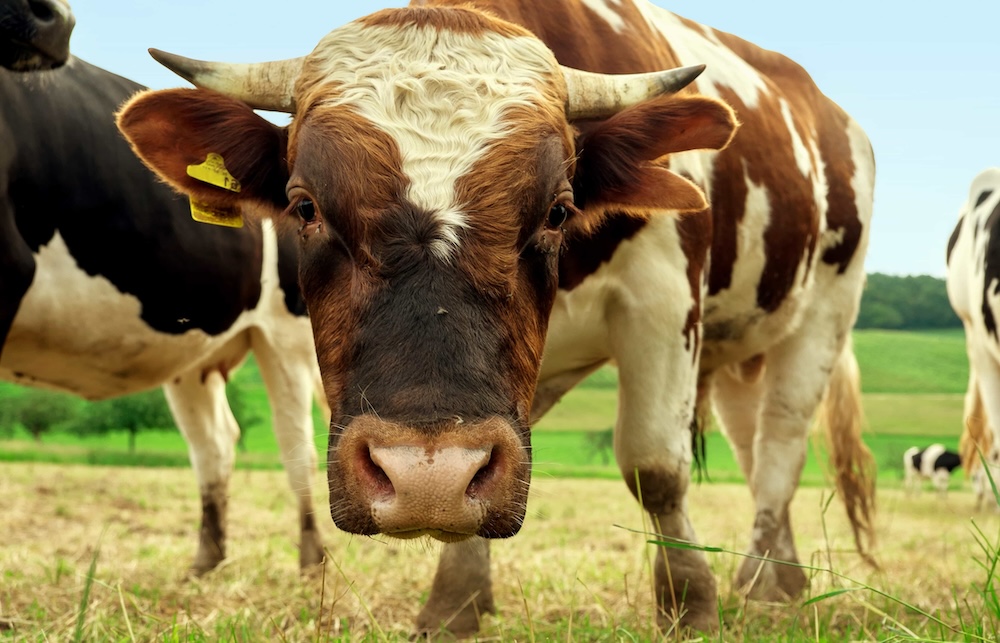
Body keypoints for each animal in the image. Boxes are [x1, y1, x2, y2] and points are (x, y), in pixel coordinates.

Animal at [0, 58, 325, 575]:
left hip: (285, 336)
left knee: (297, 446)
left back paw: (311, 565)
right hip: (194, 351)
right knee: (215, 444)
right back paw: (206, 564)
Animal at [117, 0, 876, 634]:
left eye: (558, 210)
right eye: (304, 206)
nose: (423, 479)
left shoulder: (662, 301)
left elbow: (655, 466)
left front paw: (689, 604)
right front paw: (455, 603)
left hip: (822, 317)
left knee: (781, 446)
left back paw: (767, 586)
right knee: (755, 446)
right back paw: (775, 578)